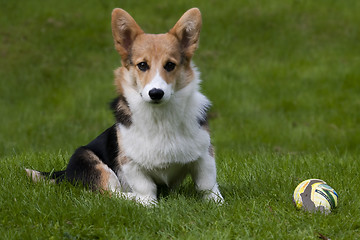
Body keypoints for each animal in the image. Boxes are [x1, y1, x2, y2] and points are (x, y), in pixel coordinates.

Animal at [25, 8, 224, 205]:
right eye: (142, 65)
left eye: (170, 65)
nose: (156, 93)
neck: (160, 117)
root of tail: (64, 173)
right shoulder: (131, 163)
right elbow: (146, 193)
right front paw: (147, 202)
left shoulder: (204, 156)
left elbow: (208, 186)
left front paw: (216, 202)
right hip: (88, 159)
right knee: (110, 193)